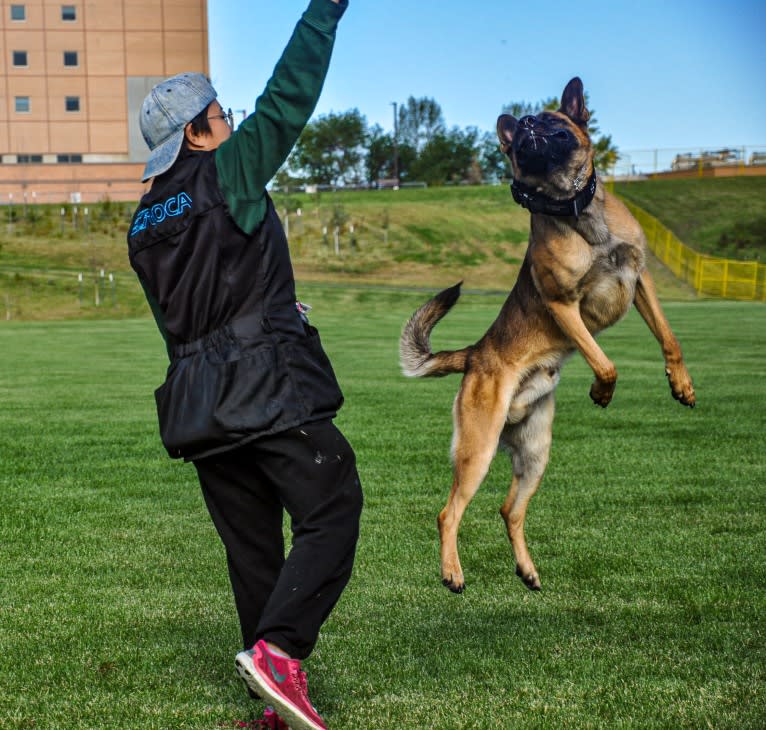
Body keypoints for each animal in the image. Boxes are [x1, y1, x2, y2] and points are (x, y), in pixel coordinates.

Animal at [402, 77, 696, 596]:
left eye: (552, 122)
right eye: (521, 131)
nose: (525, 125)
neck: (575, 212)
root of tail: (475, 354)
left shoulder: (642, 281)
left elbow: (669, 337)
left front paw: (680, 384)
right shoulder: (564, 305)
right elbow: (604, 360)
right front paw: (602, 391)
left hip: (536, 454)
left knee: (509, 509)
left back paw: (527, 570)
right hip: (478, 450)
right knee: (448, 512)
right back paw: (452, 572)